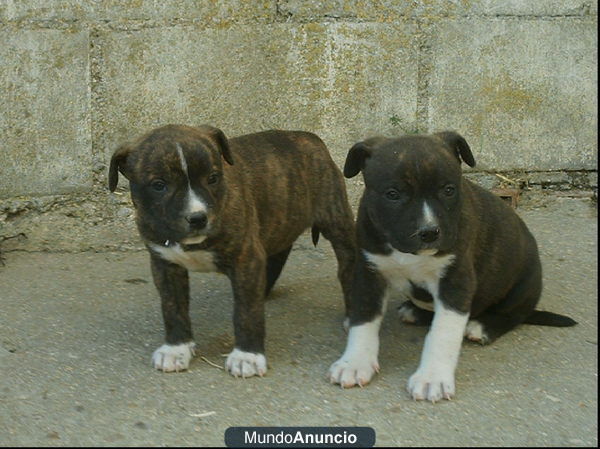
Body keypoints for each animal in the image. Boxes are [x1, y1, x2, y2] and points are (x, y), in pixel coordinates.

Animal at [109, 124, 356, 376]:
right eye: (159, 185)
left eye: (213, 178)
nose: (198, 218)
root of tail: (308, 136)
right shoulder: (165, 264)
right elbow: (172, 307)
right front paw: (176, 348)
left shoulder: (245, 259)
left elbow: (246, 311)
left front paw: (247, 356)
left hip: (336, 220)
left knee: (347, 267)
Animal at [328, 131, 576, 400]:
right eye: (392, 194)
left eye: (448, 190)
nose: (429, 232)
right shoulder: (369, 273)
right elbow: (363, 320)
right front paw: (355, 363)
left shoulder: (455, 281)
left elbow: (442, 334)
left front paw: (432, 378)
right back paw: (415, 311)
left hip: (524, 282)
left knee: (514, 313)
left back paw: (482, 327)